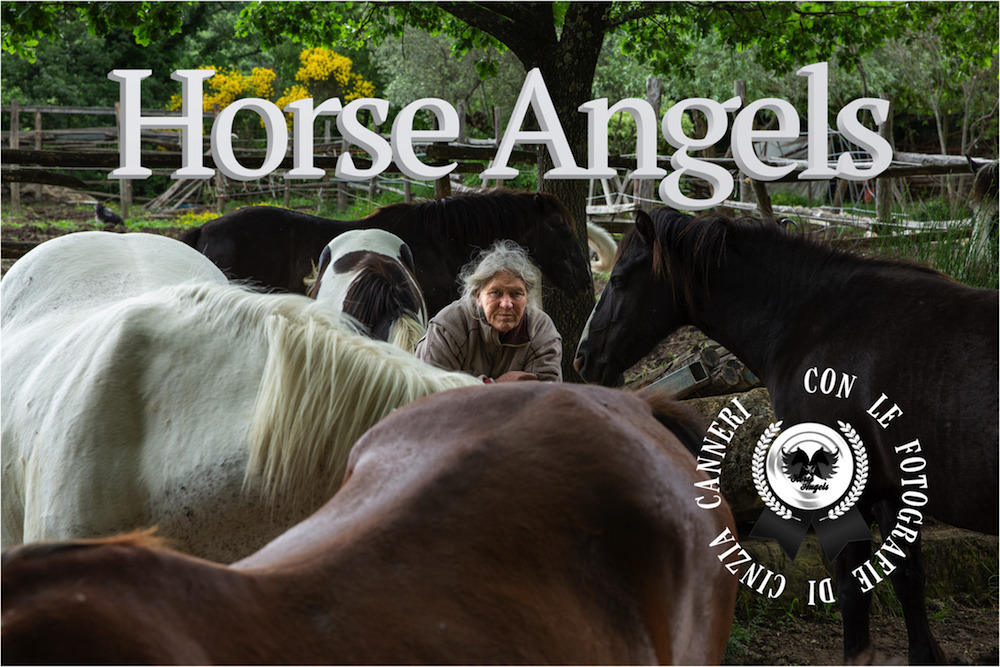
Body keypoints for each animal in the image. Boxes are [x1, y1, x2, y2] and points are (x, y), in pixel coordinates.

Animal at [573, 208, 999, 664]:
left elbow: (853, 592)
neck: (815, 323)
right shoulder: (893, 491)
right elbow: (908, 580)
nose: (582, 357)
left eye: (618, 280)